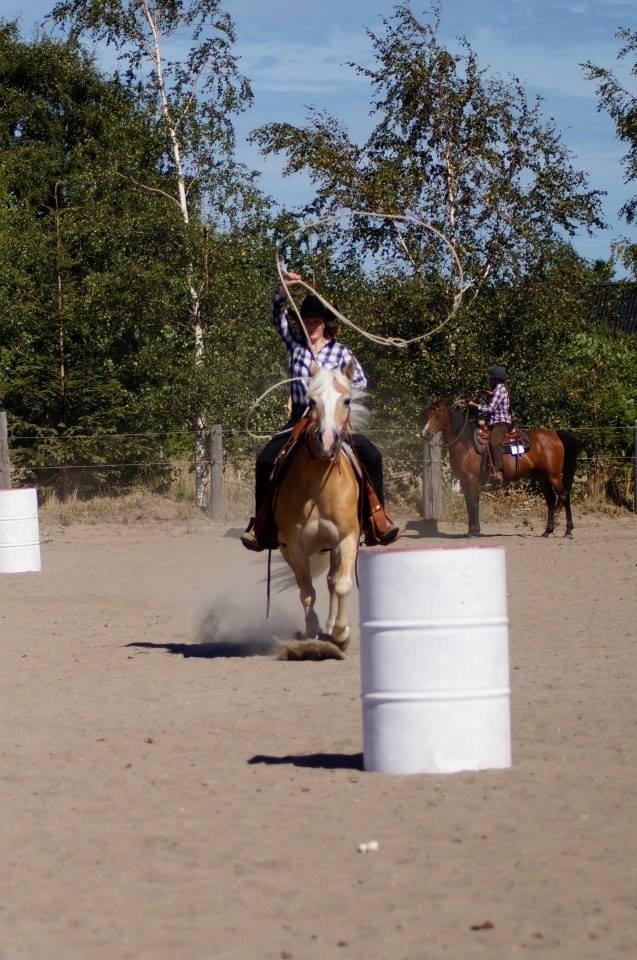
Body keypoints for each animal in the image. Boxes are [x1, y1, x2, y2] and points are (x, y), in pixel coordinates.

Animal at [274, 364, 366, 648]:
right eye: (311, 401)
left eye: (346, 400)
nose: (326, 441)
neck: (319, 489)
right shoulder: (295, 546)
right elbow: (306, 592)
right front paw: (311, 630)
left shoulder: (347, 538)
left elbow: (342, 585)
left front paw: (340, 633)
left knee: (332, 581)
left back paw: (333, 626)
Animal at [422, 396, 576, 536]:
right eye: (427, 414)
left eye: (438, 415)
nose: (425, 434)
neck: (466, 444)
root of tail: (555, 434)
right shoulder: (465, 481)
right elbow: (469, 504)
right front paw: (472, 530)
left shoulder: (471, 479)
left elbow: (473, 503)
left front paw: (474, 531)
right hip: (542, 476)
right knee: (551, 499)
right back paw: (548, 531)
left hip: (554, 475)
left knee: (564, 496)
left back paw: (568, 531)